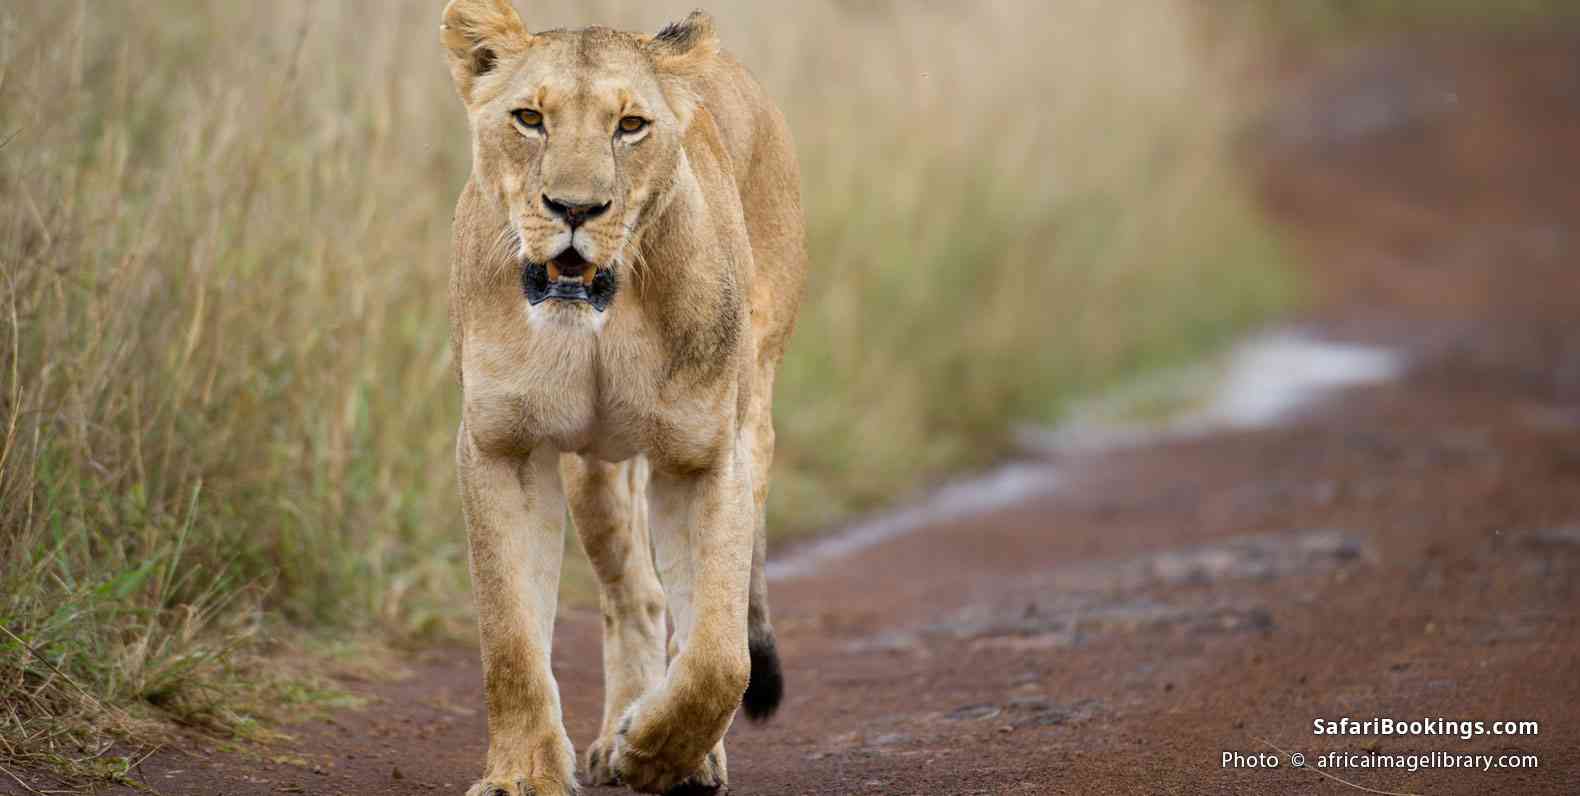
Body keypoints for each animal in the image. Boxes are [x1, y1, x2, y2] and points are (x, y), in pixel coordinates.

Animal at [439, 1, 806, 793]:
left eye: (630, 126)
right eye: (529, 118)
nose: (574, 209)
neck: (600, 326)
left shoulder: (706, 458)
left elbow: (718, 656)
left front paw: (659, 754)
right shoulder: (502, 446)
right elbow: (511, 640)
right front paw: (523, 775)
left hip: (755, 414)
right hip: (596, 472)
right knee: (637, 595)